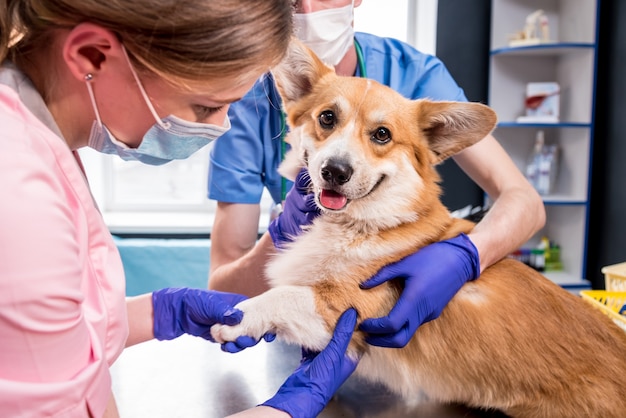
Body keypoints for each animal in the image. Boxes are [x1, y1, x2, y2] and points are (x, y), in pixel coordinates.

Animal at [210, 40, 624, 418]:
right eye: (327, 118)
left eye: (382, 135)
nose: (335, 171)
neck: (362, 222)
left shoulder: (350, 310)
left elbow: (284, 296)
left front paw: (237, 318)